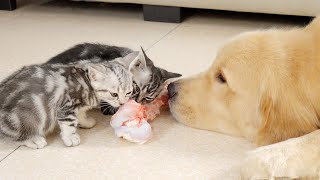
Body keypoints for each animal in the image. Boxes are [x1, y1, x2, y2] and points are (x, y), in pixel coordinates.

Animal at [0, 61, 132, 148]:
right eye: (114, 94)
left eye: (129, 92)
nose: (122, 103)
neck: (86, 83)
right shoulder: (66, 104)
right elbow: (69, 122)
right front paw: (70, 137)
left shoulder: (78, 107)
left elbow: (80, 114)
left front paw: (85, 122)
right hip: (26, 117)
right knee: (13, 134)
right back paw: (33, 139)